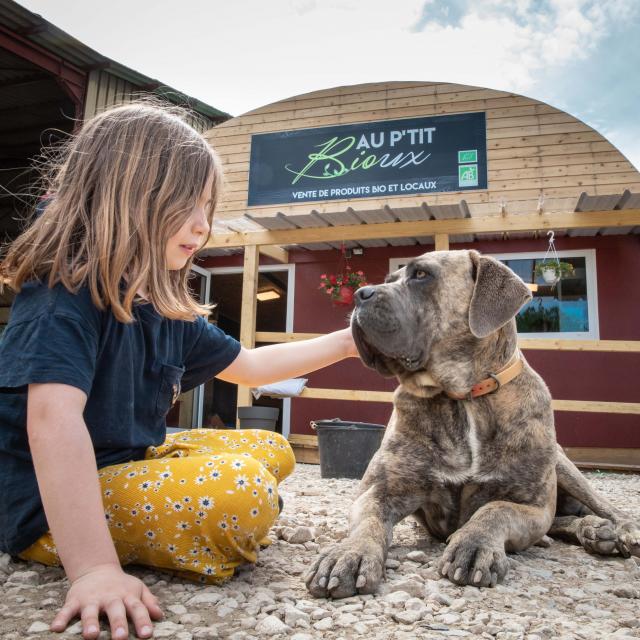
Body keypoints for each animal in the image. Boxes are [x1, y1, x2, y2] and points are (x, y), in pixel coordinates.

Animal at [306, 248, 640, 596]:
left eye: (421, 275)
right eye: (389, 279)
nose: (361, 293)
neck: (461, 396)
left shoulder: (532, 507)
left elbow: (495, 510)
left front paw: (474, 544)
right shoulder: (379, 491)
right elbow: (368, 522)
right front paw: (349, 553)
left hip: (564, 467)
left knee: (603, 507)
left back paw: (616, 529)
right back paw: (594, 531)